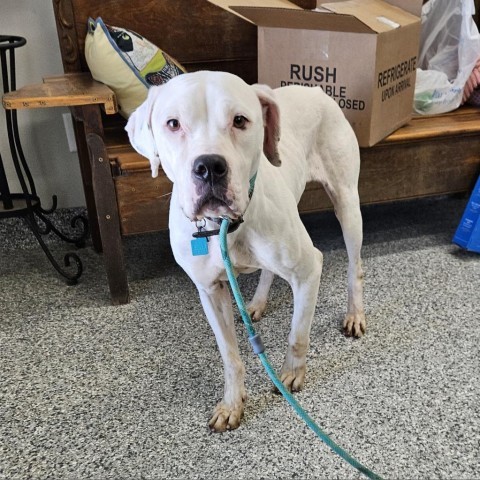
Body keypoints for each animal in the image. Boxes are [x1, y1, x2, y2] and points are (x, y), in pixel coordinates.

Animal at [125, 70, 366, 432]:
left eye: (240, 120)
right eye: (173, 124)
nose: (209, 166)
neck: (224, 227)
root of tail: (316, 91)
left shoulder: (309, 270)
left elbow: (298, 333)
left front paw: (291, 375)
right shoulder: (210, 291)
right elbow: (230, 355)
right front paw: (232, 403)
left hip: (347, 203)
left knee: (355, 268)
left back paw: (355, 314)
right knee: (269, 271)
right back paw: (257, 303)